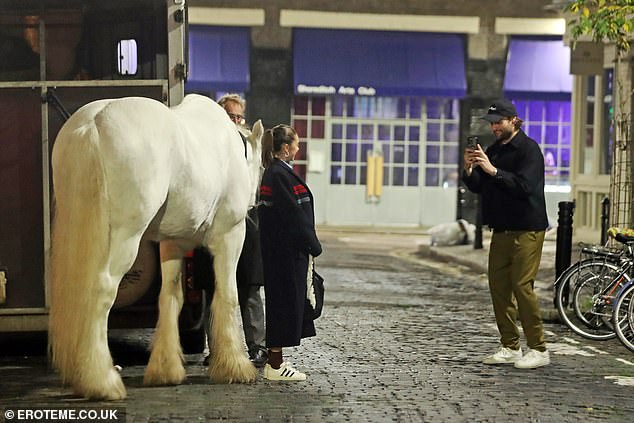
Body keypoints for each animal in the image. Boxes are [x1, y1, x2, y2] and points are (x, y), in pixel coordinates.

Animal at [48, 93, 262, 400]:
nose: (254, 205)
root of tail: (94, 123)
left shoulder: (172, 243)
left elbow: (170, 297)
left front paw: (166, 370)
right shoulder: (230, 235)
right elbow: (228, 295)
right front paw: (235, 367)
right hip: (125, 237)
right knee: (102, 290)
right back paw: (102, 382)